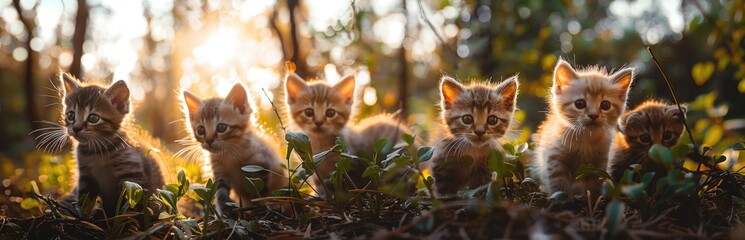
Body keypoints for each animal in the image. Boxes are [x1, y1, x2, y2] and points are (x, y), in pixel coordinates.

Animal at [56, 72, 163, 216]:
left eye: (93, 118)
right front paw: (82, 215)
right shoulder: (85, 177)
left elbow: (131, 207)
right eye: (71, 115)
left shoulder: (133, 178)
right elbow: (84, 200)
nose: (76, 128)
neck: (98, 151)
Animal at [183, 83, 288, 218]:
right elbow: (221, 191)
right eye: (201, 130)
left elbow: (259, 190)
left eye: (222, 127)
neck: (230, 153)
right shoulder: (219, 172)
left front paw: (261, 209)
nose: (209, 141)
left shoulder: (260, 163)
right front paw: (225, 210)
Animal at [532, 58, 632, 197]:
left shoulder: (599, 165)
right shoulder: (555, 159)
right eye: (580, 104)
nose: (593, 115)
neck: (585, 137)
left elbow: (594, 186)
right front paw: (565, 200)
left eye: (605, 105)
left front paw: (593, 199)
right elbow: (559, 186)